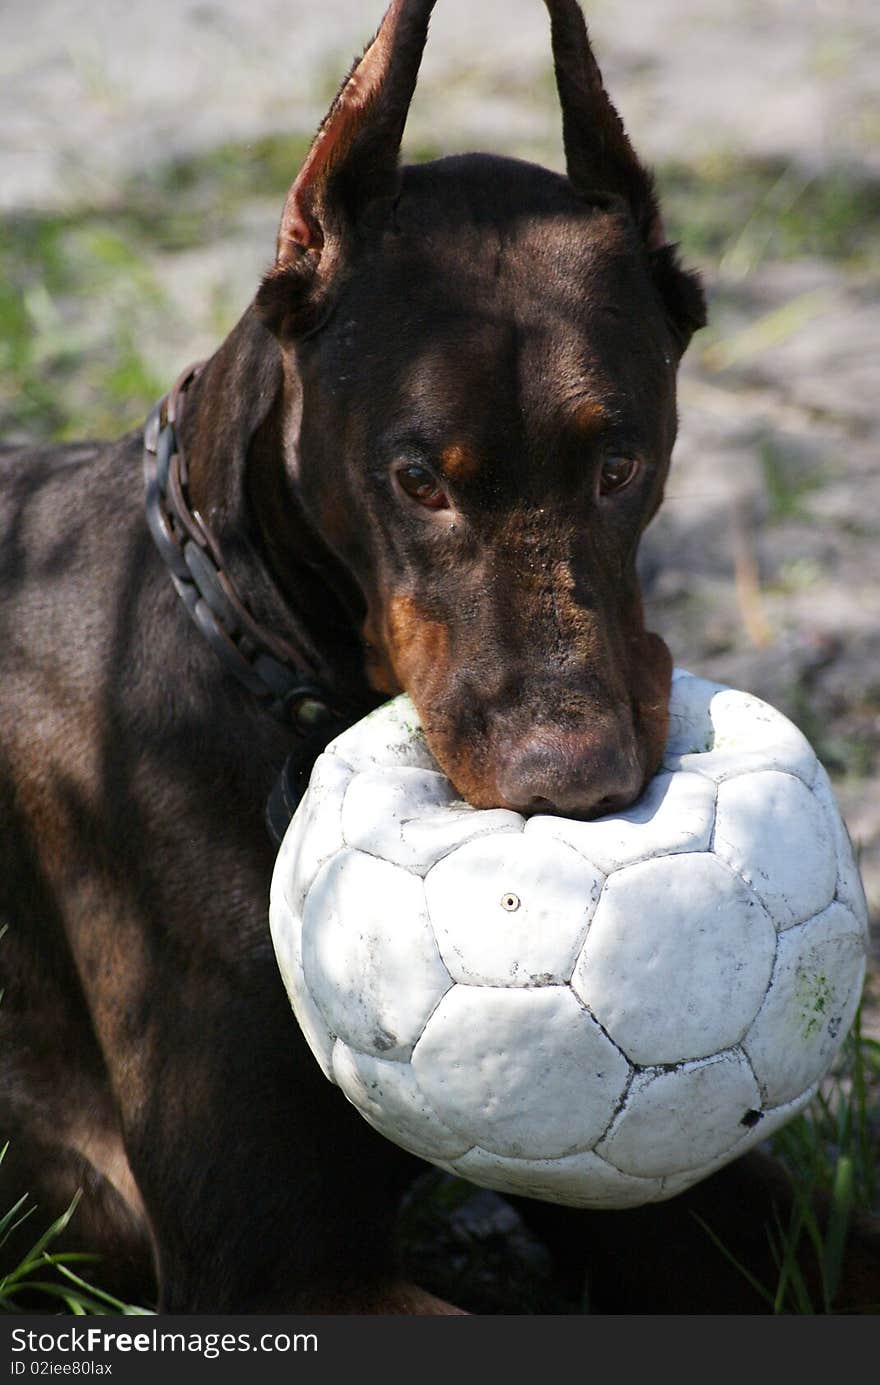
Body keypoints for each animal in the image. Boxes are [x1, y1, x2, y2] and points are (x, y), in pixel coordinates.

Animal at [1, 0, 880, 1312]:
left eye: (620, 462)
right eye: (417, 478)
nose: (568, 781)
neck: (247, 640)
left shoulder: (681, 1191)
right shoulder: (281, 1270)